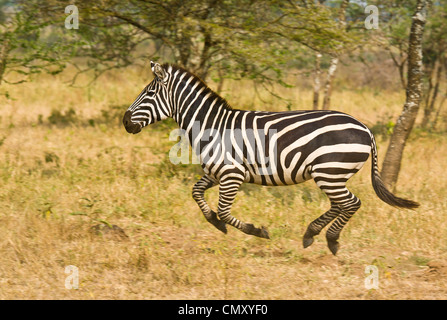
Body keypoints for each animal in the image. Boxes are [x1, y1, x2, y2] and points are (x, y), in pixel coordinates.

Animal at [123, 61, 420, 254]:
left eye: (149, 93)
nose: (125, 122)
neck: (212, 125)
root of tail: (365, 128)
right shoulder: (216, 172)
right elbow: (196, 193)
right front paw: (214, 223)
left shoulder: (232, 174)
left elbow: (224, 210)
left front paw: (256, 231)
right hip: (331, 174)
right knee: (340, 204)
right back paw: (311, 234)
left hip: (330, 170)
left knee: (351, 203)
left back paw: (332, 240)